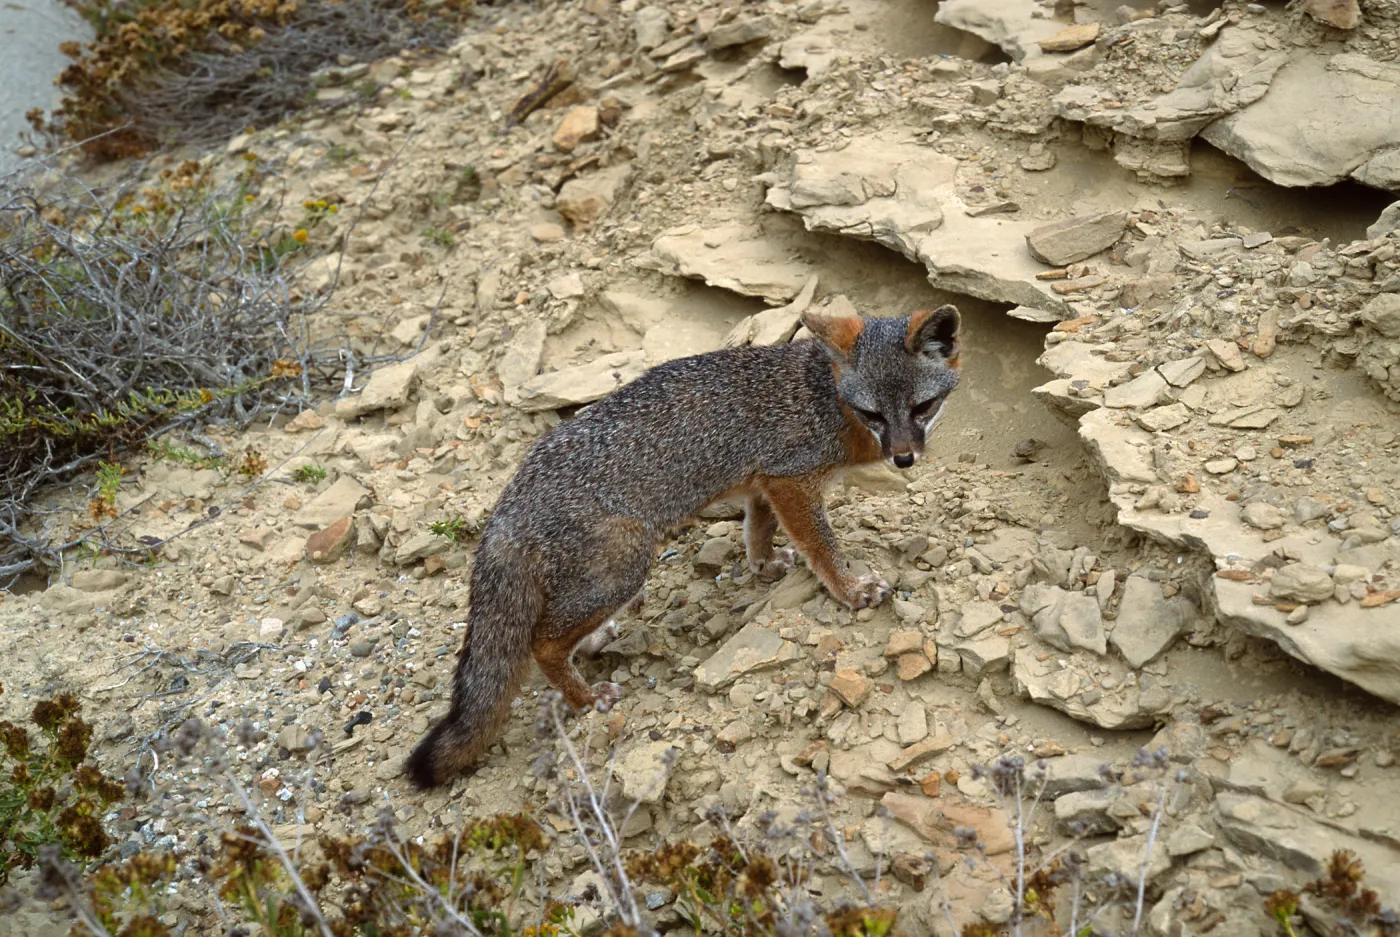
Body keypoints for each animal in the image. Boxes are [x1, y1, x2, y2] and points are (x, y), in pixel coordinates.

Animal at [405, 305, 962, 788]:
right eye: (873, 413)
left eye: (922, 407)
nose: (904, 459)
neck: (828, 394)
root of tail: (507, 507)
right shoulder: (792, 478)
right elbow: (821, 546)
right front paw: (849, 589)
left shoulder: (763, 482)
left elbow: (758, 530)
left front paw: (764, 566)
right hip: (626, 568)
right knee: (543, 642)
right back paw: (585, 698)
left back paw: (594, 643)